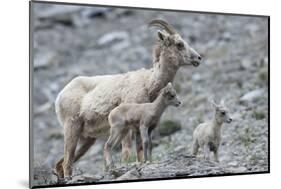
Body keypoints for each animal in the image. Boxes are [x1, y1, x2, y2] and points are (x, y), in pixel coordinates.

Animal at [53, 19, 201, 180]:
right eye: (179, 44)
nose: (198, 58)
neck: (148, 84)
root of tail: (60, 96)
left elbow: (140, 149)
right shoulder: (130, 128)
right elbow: (127, 151)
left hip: (87, 139)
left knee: (62, 163)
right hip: (72, 129)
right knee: (67, 162)